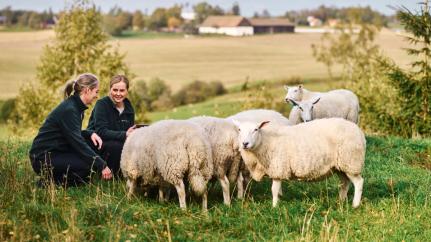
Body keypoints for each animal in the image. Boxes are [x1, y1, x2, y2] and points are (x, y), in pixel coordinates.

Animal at [233, 117, 368, 208]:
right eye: (239, 130)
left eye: (256, 129)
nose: (245, 143)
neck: (265, 141)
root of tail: (360, 132)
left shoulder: (278, 168)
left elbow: (274, 190)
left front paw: (274, 206)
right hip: (340, 166)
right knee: (344, 183)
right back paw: (340, 201)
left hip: (351, 161)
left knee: (359, 182)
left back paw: (355, 205)